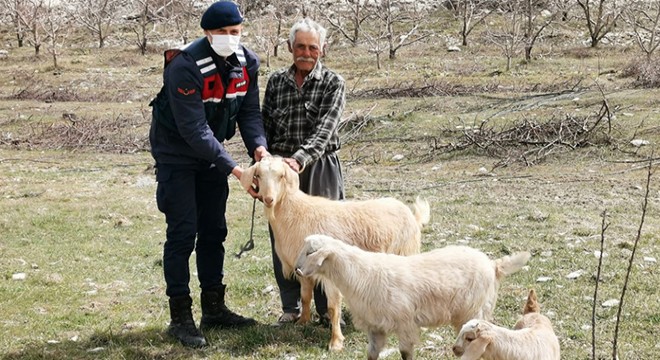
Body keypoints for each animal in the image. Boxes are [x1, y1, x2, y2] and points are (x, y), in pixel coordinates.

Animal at [240, 155, 430, 352]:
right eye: (258, 176)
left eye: (281, 176)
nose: (269, 199)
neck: (296, 212)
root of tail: (412, 214)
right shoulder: (302, 270)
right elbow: (305, 297)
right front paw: (302, 322)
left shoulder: (330, 273)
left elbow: (332, 308)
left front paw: (336, 342)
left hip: (407, 252)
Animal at [294, 233, 532, 360]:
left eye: (311, 252)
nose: (296, 270)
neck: (362, 274)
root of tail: (493, 265)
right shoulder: (376, 327)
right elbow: (372, 354)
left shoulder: (405, 324)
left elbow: (405, 353)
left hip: (474, 311)